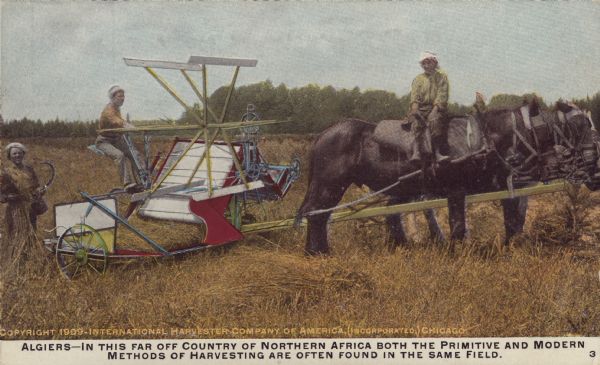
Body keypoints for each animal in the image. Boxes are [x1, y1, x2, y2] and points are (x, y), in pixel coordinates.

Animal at [298, 99, 596, 253]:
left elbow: (512, 221)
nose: (594, 161)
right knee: (317, 214)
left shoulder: (507, 186)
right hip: (329, 185)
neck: (488, 139)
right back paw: (318, 252)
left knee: (321, 215)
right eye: (579, 124)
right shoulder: (456, 190)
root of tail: (323, 135)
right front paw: (459, 252)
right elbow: (458, 225)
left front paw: (512, 247)